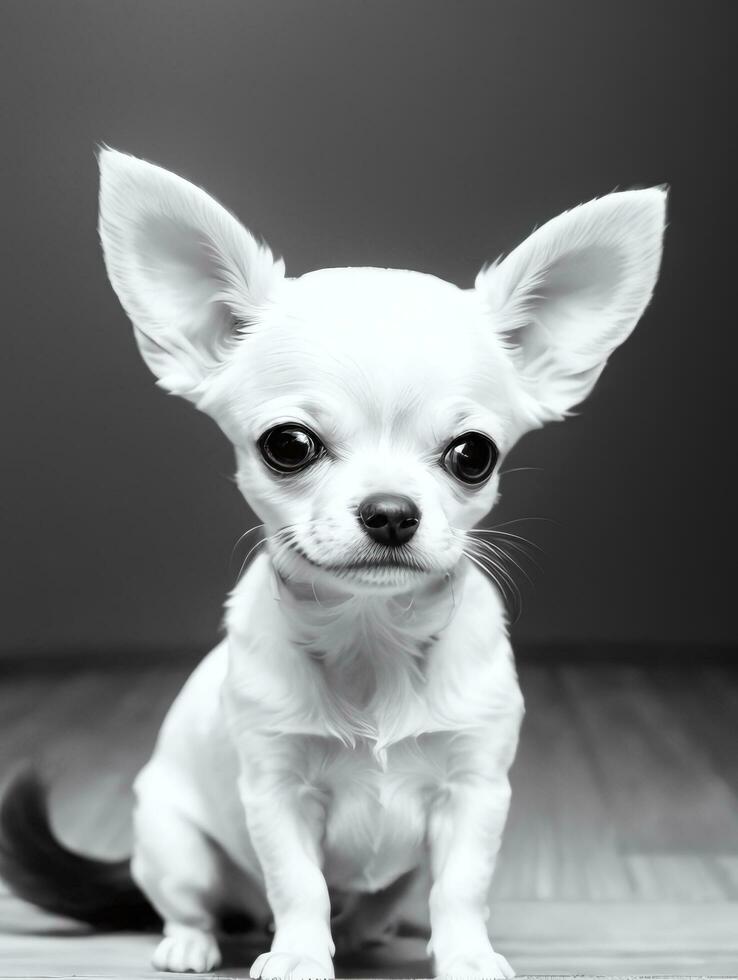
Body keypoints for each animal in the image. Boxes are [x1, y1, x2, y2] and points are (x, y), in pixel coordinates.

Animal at [0, 149, 664, 976]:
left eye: (473, 455)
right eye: (289, 445)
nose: (390, 511)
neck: (372, 637)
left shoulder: (476, 790)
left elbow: (461, 888)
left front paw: (467, 955)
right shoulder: (275, 791)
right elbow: (298, 886)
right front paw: (298, 957)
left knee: (389, 897)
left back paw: (376, 931)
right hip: (171, 840)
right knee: (191, 899)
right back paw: (193, 941)